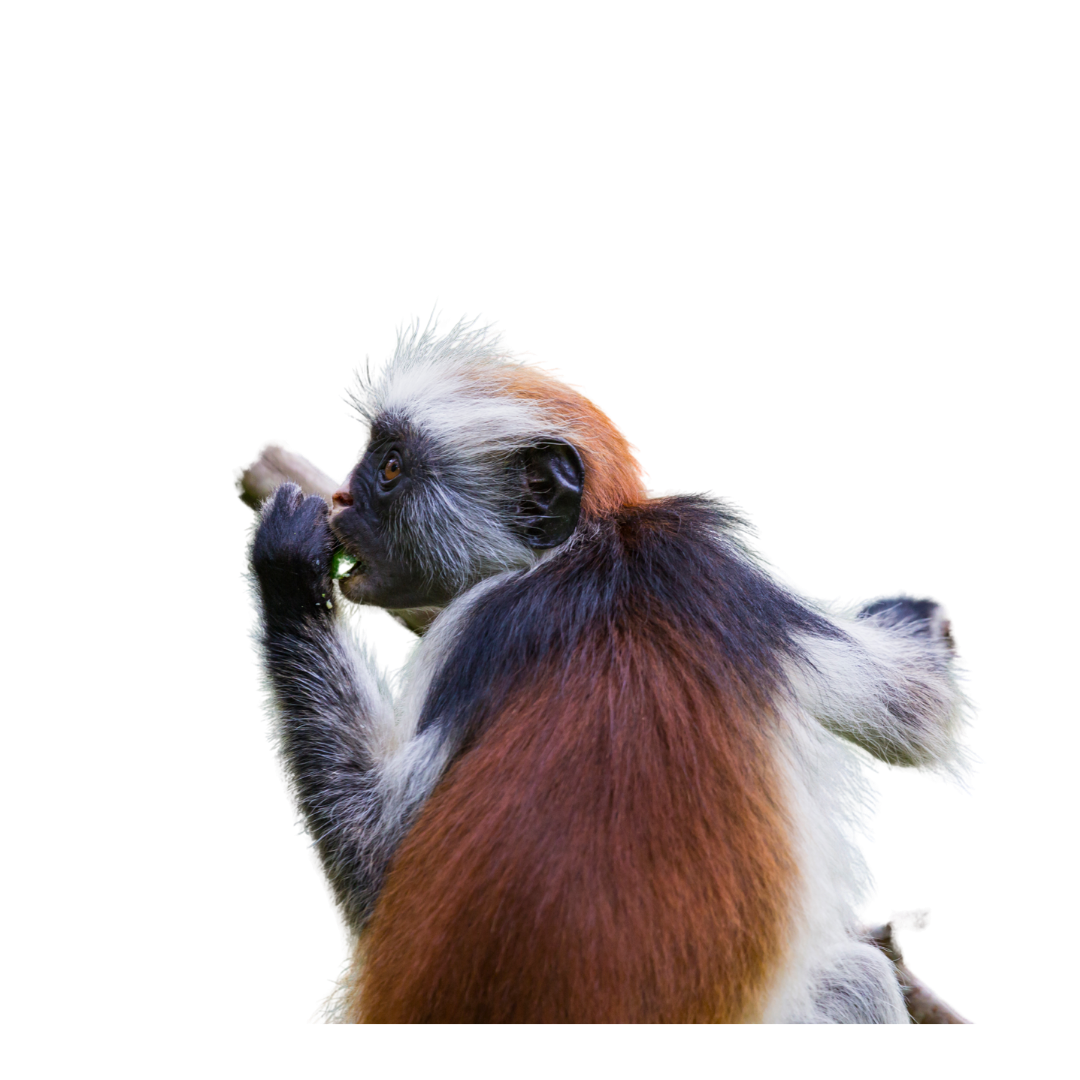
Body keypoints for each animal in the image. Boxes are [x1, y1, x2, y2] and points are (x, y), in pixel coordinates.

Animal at [241, 302, 981, 1024]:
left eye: (390, 468)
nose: (341, 498)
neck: (599, 552)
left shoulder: (486, 625)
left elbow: (375, 864)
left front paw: (286, 566)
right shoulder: (716, 572)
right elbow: (926, 704)